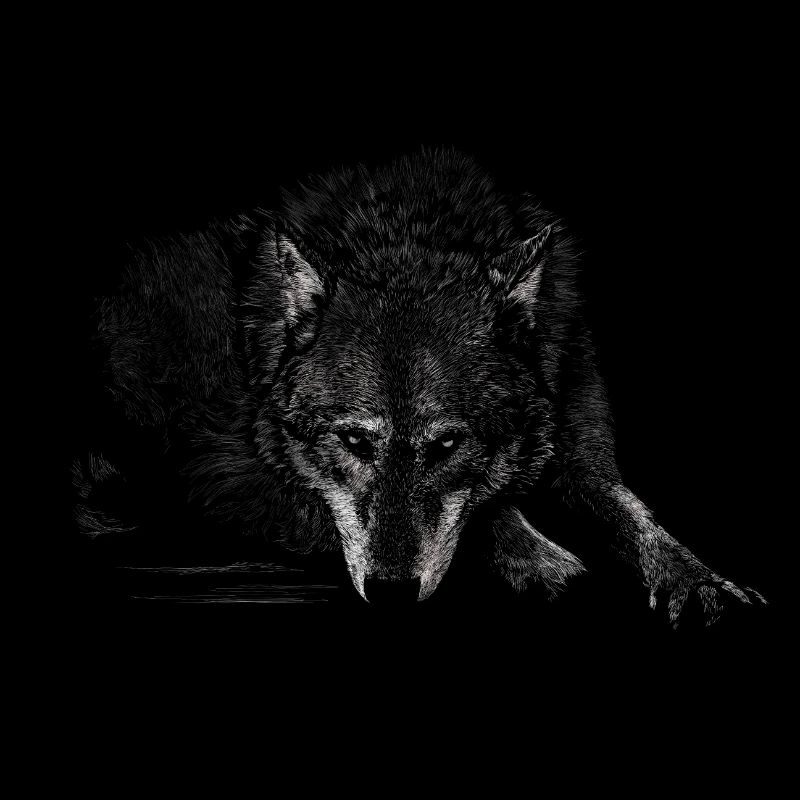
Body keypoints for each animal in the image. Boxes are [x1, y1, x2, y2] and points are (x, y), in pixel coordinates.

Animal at [74, 148, 764, 623]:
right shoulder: (225, 473)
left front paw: (699, 580)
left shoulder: (585, 460)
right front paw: (544, 561)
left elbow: (636, 516)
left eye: (447, 446)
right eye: (354, 442)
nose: (390, 593)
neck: (408, 235)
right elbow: (492, 511)